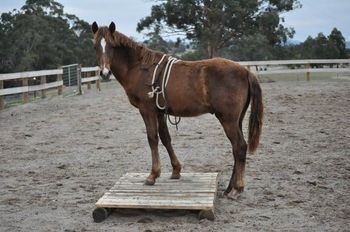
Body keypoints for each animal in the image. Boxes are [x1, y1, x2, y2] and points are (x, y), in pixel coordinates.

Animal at [91, 22, 262, 198]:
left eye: (111, 45)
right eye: (95, 46)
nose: (105, 73)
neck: (140, 68)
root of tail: (246, 71)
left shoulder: (147, 110)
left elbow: (152, 138)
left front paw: (153, 175)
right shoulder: (160, 112)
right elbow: (165, 138)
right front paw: (176, 170)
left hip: (228, 120)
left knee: (239, 146)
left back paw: (237, 189)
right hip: (236, 120)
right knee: (237, 148)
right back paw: (229, 188)